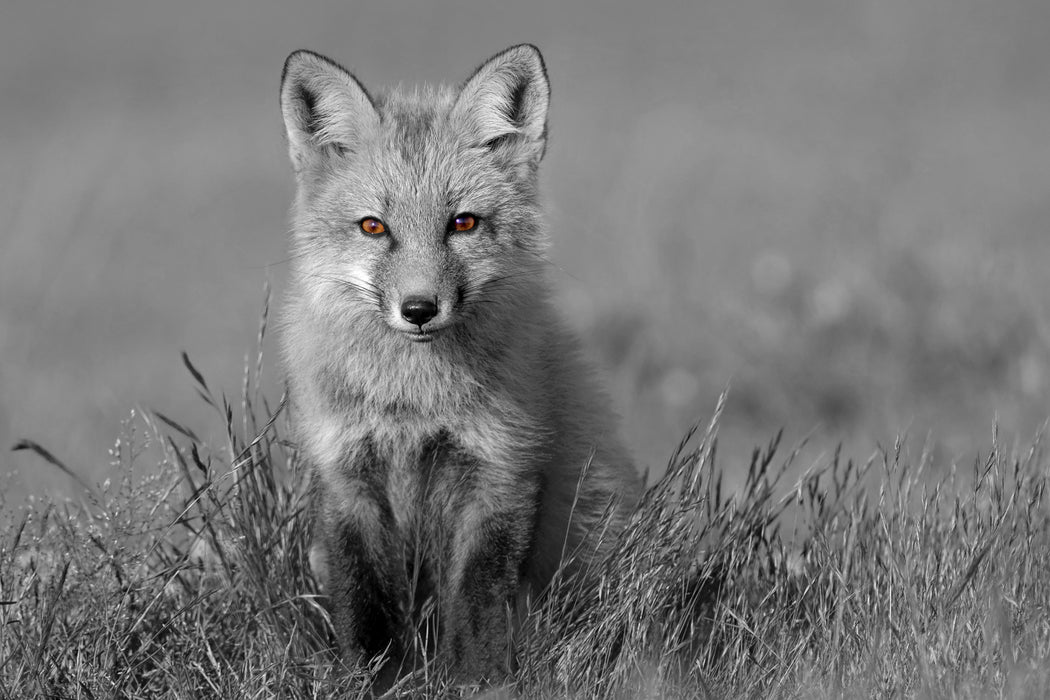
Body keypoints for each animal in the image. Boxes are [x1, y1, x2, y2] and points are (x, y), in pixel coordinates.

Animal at [279, 43, 634, 684]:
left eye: (462, 222)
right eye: (374, 226)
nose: (419, 309)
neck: (413, 401)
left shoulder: (500, 469)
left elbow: (475, 598)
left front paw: (478, 681)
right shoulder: (346, 475)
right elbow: (363, 599)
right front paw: (371, 680)